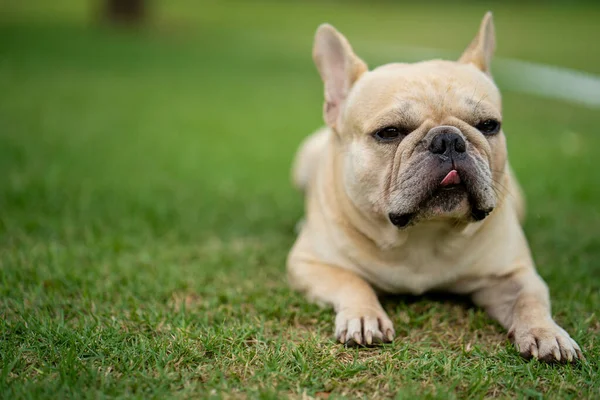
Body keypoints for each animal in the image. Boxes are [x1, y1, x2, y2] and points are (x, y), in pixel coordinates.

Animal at [288, 12, 584, 362]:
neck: (422, 234)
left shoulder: (513, 275)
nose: (448, 140)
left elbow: (531, 299)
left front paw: (547, 333)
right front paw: (363, 316)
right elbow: (350, 281)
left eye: (489, 125)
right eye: (389, 132)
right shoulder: (310, 264)